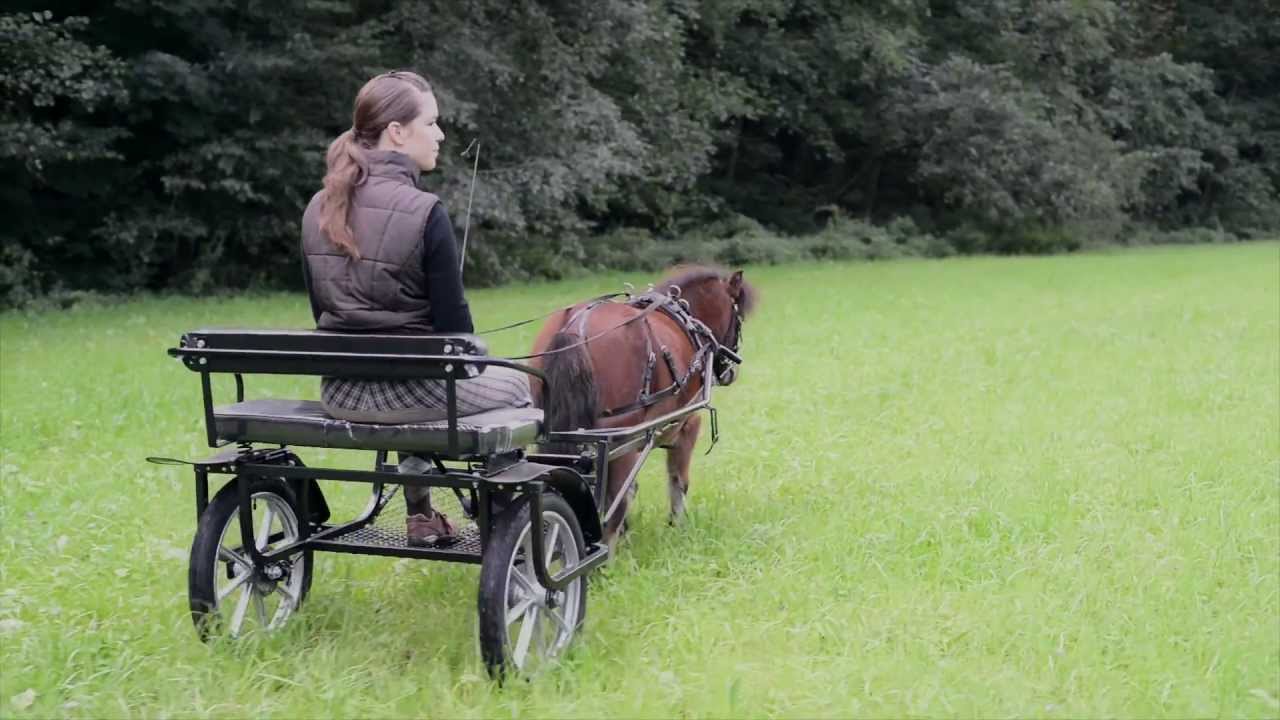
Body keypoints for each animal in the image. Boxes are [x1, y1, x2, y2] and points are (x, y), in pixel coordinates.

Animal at [529, 265, 758, 545]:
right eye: (738, 318)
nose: (730, 372)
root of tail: (573, 327)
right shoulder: (687, 426)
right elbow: (677, 481)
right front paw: (678, 526)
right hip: (618, 438)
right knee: (613, 504)